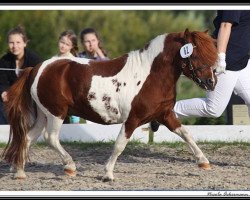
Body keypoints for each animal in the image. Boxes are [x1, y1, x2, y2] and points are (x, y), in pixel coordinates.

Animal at [1, 28, 217, 181]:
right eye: (195, 55)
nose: (211, 82)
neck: (151, 75)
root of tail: (37, 68)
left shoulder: (165, 114)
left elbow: (186, 134)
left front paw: (204, 162)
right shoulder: (133, 119)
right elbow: (120, 144)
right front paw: (108, 174)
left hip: (43, 114)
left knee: (28, 137)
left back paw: (19, 172)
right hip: (56, 113)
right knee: (50, 138)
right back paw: (69, 166)